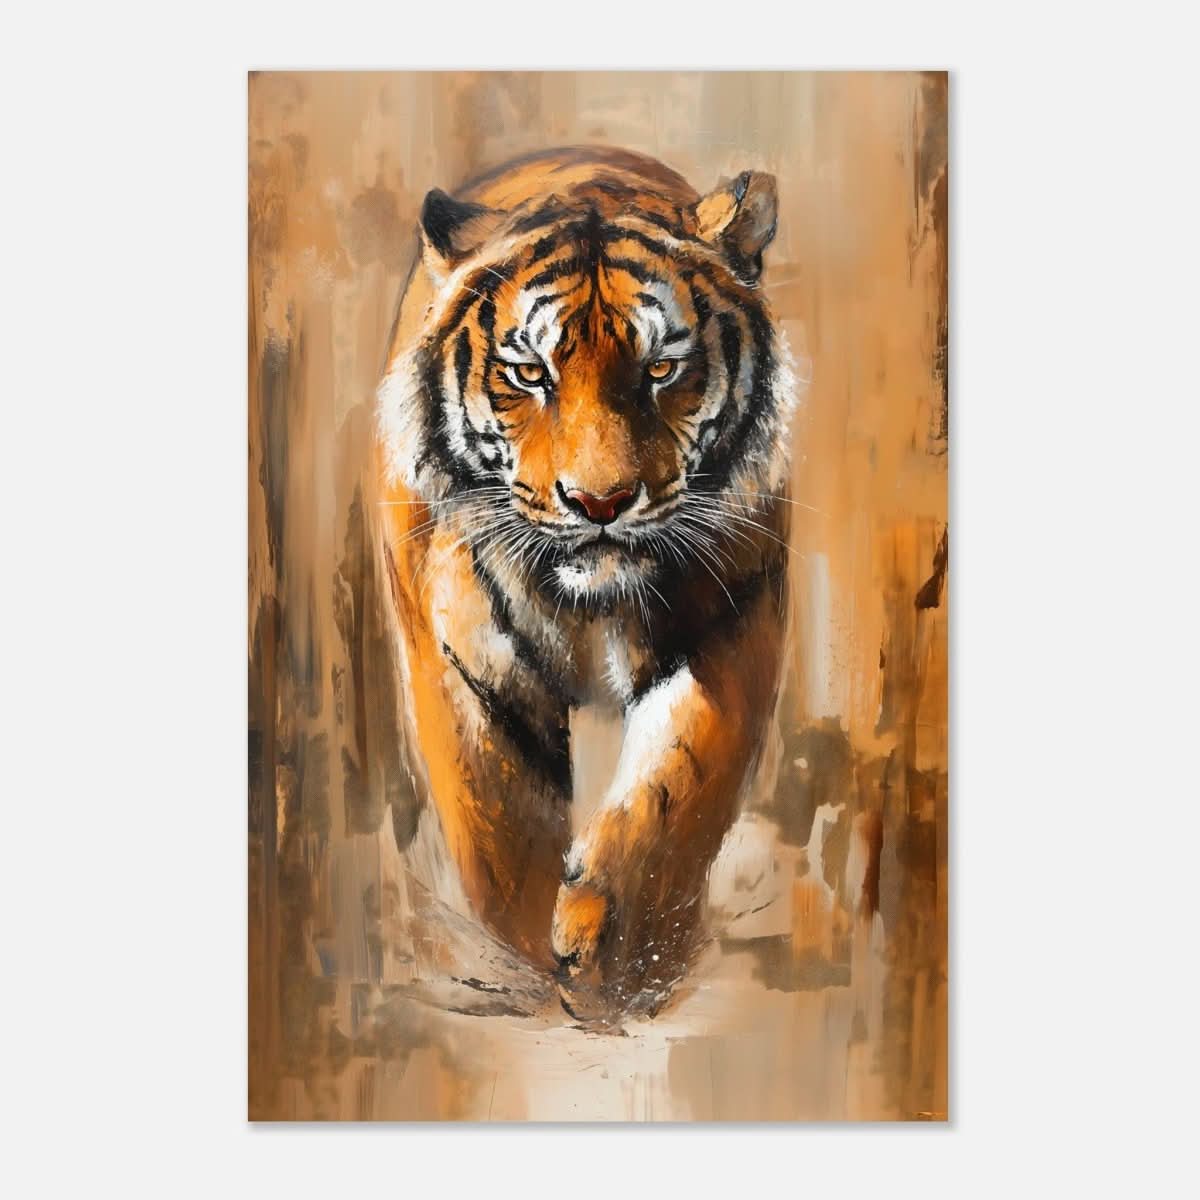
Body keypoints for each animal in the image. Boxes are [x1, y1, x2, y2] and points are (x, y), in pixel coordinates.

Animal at [375, 145, 798, 1021]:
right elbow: (499, 832)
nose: (600, 502)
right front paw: (536, 961)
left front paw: (618, 956)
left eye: (663, 368)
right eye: (529, 373)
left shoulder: (732, 625)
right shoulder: (463, 666)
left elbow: (675, 791)